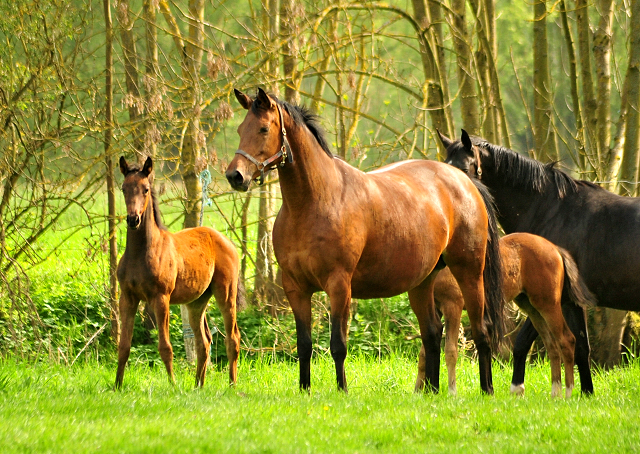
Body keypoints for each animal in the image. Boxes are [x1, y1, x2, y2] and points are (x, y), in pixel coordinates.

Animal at [115, 158, 242, 388]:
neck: (141, 253)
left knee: (232, 338)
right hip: (196, 302)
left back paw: (232, 385)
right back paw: (198, 385)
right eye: (124, 188)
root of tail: (226, 241)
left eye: (145, 189)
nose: (133, 219)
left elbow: (165, 347)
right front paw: (117, 386)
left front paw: (173, 385)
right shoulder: (127, 298)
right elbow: (123, 346)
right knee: (204, 342)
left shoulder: (161, 298)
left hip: (226, 294)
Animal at [225, 88, 504, 394]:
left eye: (263, 128)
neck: (313, 203)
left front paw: (342, 391)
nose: (235, 176)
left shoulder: (339, 285)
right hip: (422, 281)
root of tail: (464, 181)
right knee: (431, 333)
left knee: (481, 330)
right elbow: (304, 345)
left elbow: (338, 344)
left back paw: (487, 390)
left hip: (469, 272)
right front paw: (304, 390)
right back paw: (430, 391)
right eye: (240, 129)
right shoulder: (295, 288)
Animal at [436, 232, 596, 396]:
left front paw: (452, 393)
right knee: (552, 345)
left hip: (549, 305)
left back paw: (567, 394)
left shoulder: (452, 305)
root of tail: (556, 249)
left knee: (566, 340)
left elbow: (450, 351)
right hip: (532, 308)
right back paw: (555, 394)